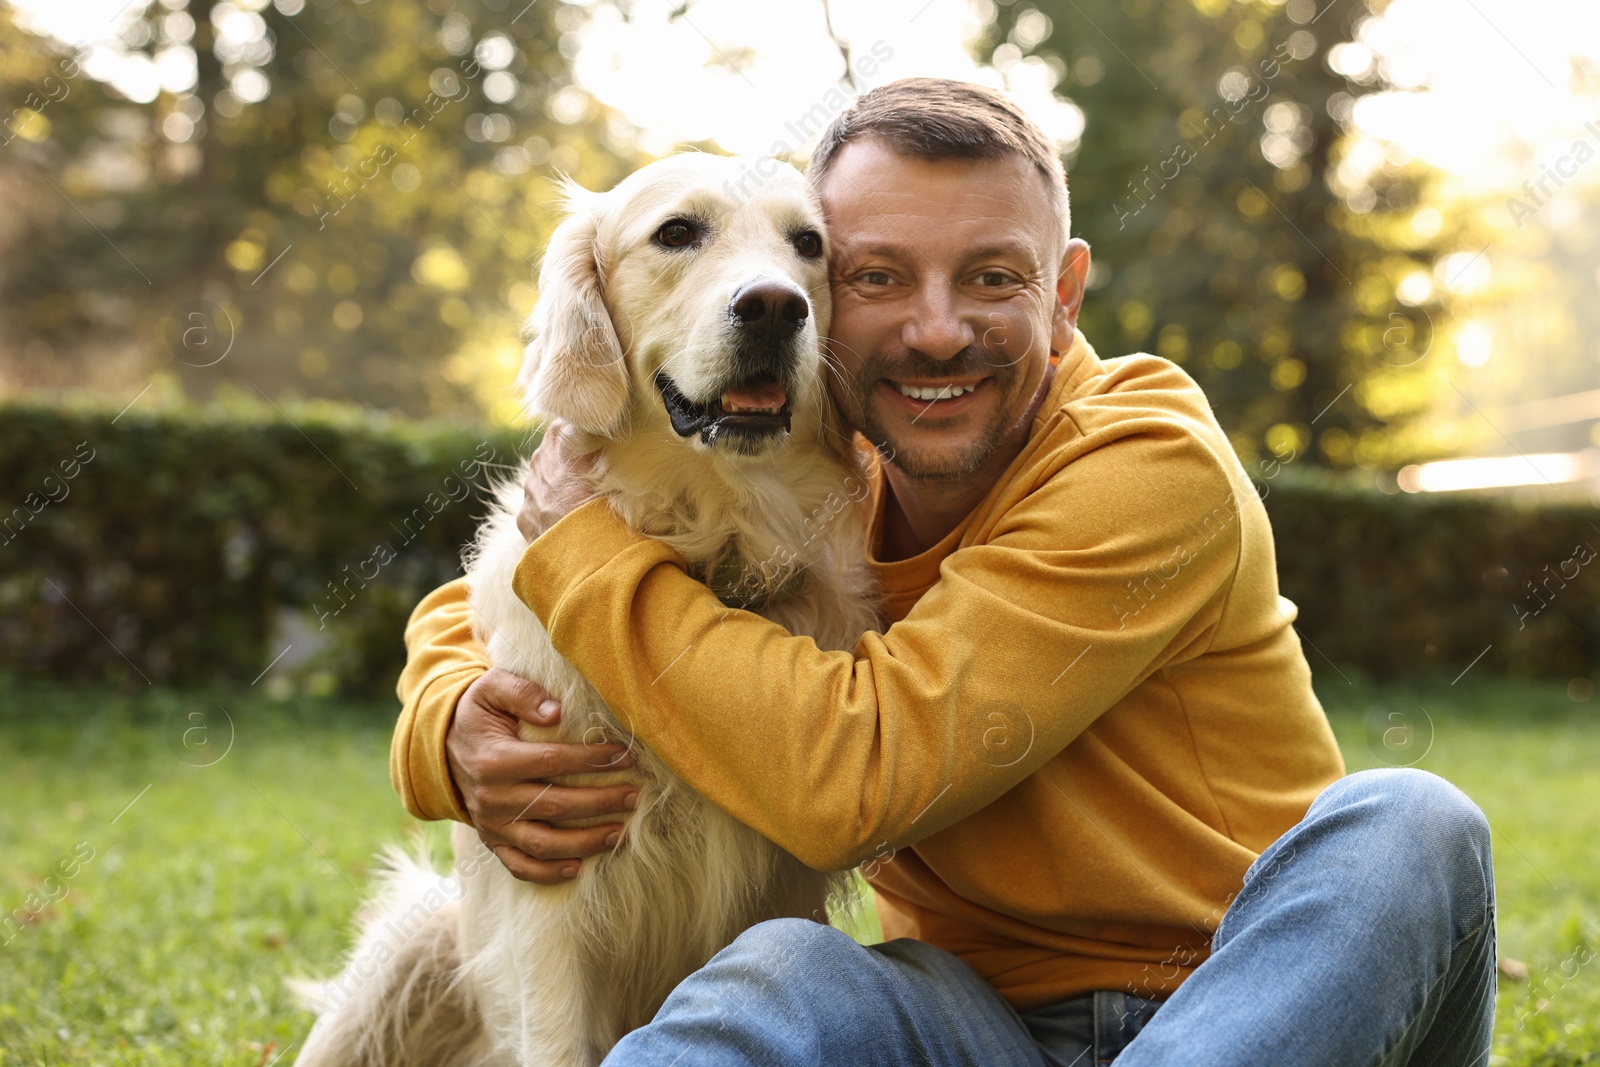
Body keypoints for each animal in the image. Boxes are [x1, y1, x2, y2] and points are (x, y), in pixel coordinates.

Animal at [294, 156, 883, 1067]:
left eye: (809, 244)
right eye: (677, 232)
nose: (777, 306)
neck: (707, 540)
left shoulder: (775, 888)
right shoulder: (549, 895)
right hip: (407, 953)